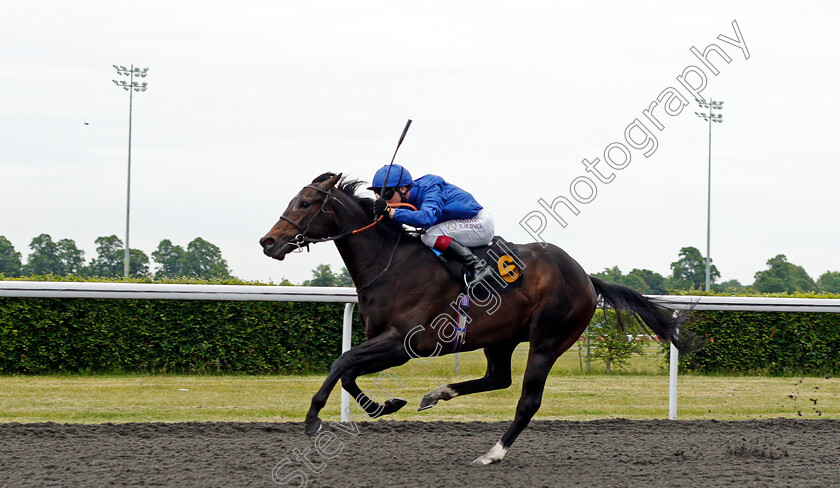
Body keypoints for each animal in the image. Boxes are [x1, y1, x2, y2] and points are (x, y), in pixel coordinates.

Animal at [260, 173, 696, 466]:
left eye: (304, 204)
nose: (268, 242)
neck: (391, 263)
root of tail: (586, 277)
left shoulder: (402, 343)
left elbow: (342, 362)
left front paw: (313, 419)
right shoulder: (386, 342)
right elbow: (349, 372)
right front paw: (385, 404)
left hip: (548, 340)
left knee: (527, 400)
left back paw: (493, 453)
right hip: (500, 338)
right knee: (497, 378)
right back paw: (436, 395)